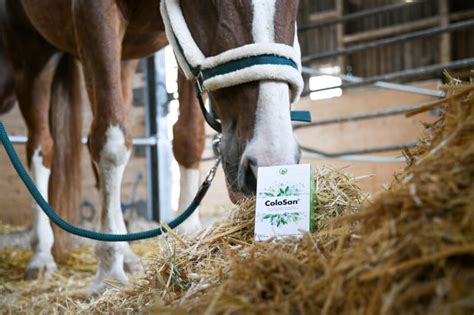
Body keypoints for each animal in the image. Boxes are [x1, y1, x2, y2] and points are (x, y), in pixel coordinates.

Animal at [1, 0, 302, 292]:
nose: (269, 161)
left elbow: (189, 138)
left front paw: (189, 235)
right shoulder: (94, 13)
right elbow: (111, 146)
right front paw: (108, 270)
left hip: (121, 60)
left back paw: (126, 252)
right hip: (34, 54)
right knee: (42, 148)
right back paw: (42, 255)